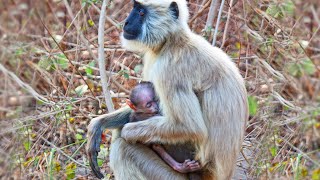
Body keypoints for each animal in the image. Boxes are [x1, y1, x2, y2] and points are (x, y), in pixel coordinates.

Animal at [86, 0, 249, 179]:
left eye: (141, 12)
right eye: (135, 8)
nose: (126, 22)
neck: (173, 41)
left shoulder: (169, 69)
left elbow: (191, 128)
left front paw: (127, 131)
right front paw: (99, 124)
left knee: (123, 148)